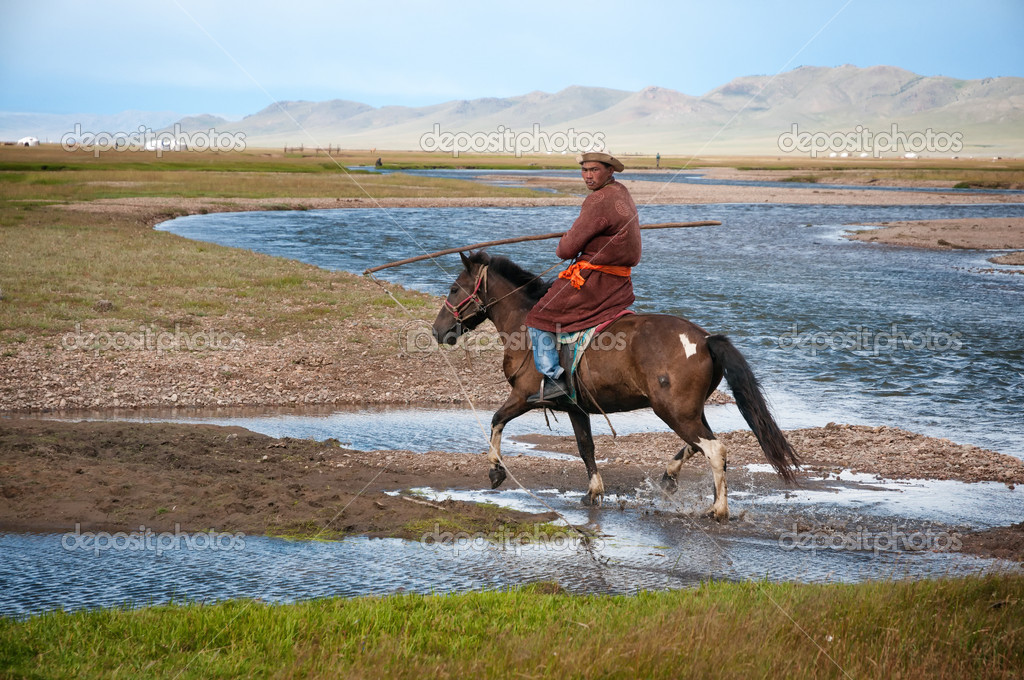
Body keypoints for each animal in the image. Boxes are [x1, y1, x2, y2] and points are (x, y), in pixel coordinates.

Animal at [428, 251, 794, 518]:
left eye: (454, 289)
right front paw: (593, 491)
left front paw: (495, 470)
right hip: (686, 411)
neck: (523, 325)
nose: (437, 330)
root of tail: (704, 339)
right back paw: (671, 478)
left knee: (714, 449)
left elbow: (495, 420)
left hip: (673, 411)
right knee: (701, 444)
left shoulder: (523, 396)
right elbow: (585, 447)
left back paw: (718, 509)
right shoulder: (575, 408)